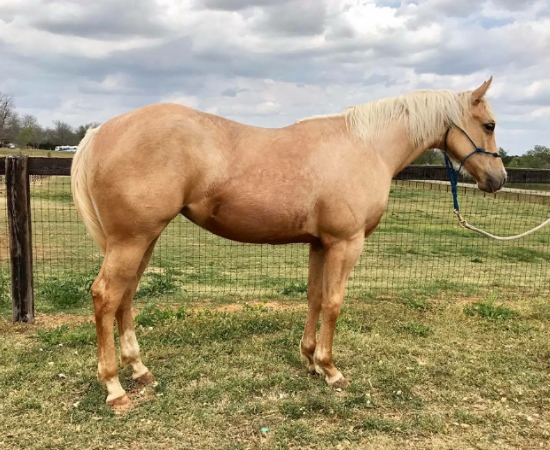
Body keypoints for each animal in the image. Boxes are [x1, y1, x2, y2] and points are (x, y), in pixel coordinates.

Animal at [72, 77, 508, 408]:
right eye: (489, 125)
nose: (498, 179)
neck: (366, 146)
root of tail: (100, 132)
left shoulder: (320, 244)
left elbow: (315, 298)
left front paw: (310, 359)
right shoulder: (346, 244)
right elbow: (333, 303)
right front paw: (331, 369)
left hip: (142, 240)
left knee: (125, 296)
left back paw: (139, 370)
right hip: (132, 240)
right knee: (106, 295)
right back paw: (114, 388)